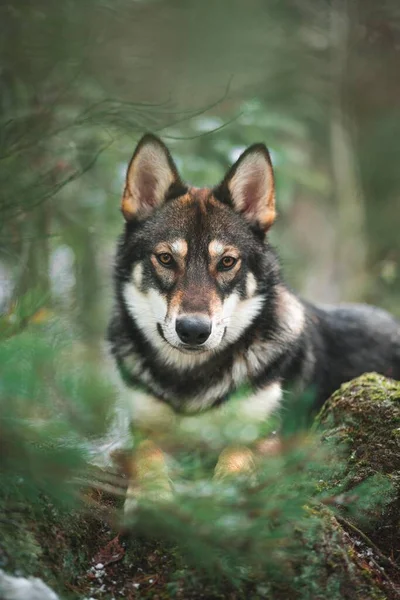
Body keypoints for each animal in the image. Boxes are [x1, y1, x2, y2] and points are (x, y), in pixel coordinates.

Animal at [108, 134, 400, 504]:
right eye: (165, 259)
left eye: (227, 262)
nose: (193, 331)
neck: (191, 382)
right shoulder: (144, 428)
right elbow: (148, 456)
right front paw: (151, 497)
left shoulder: (269, 436)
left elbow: (235, 456)